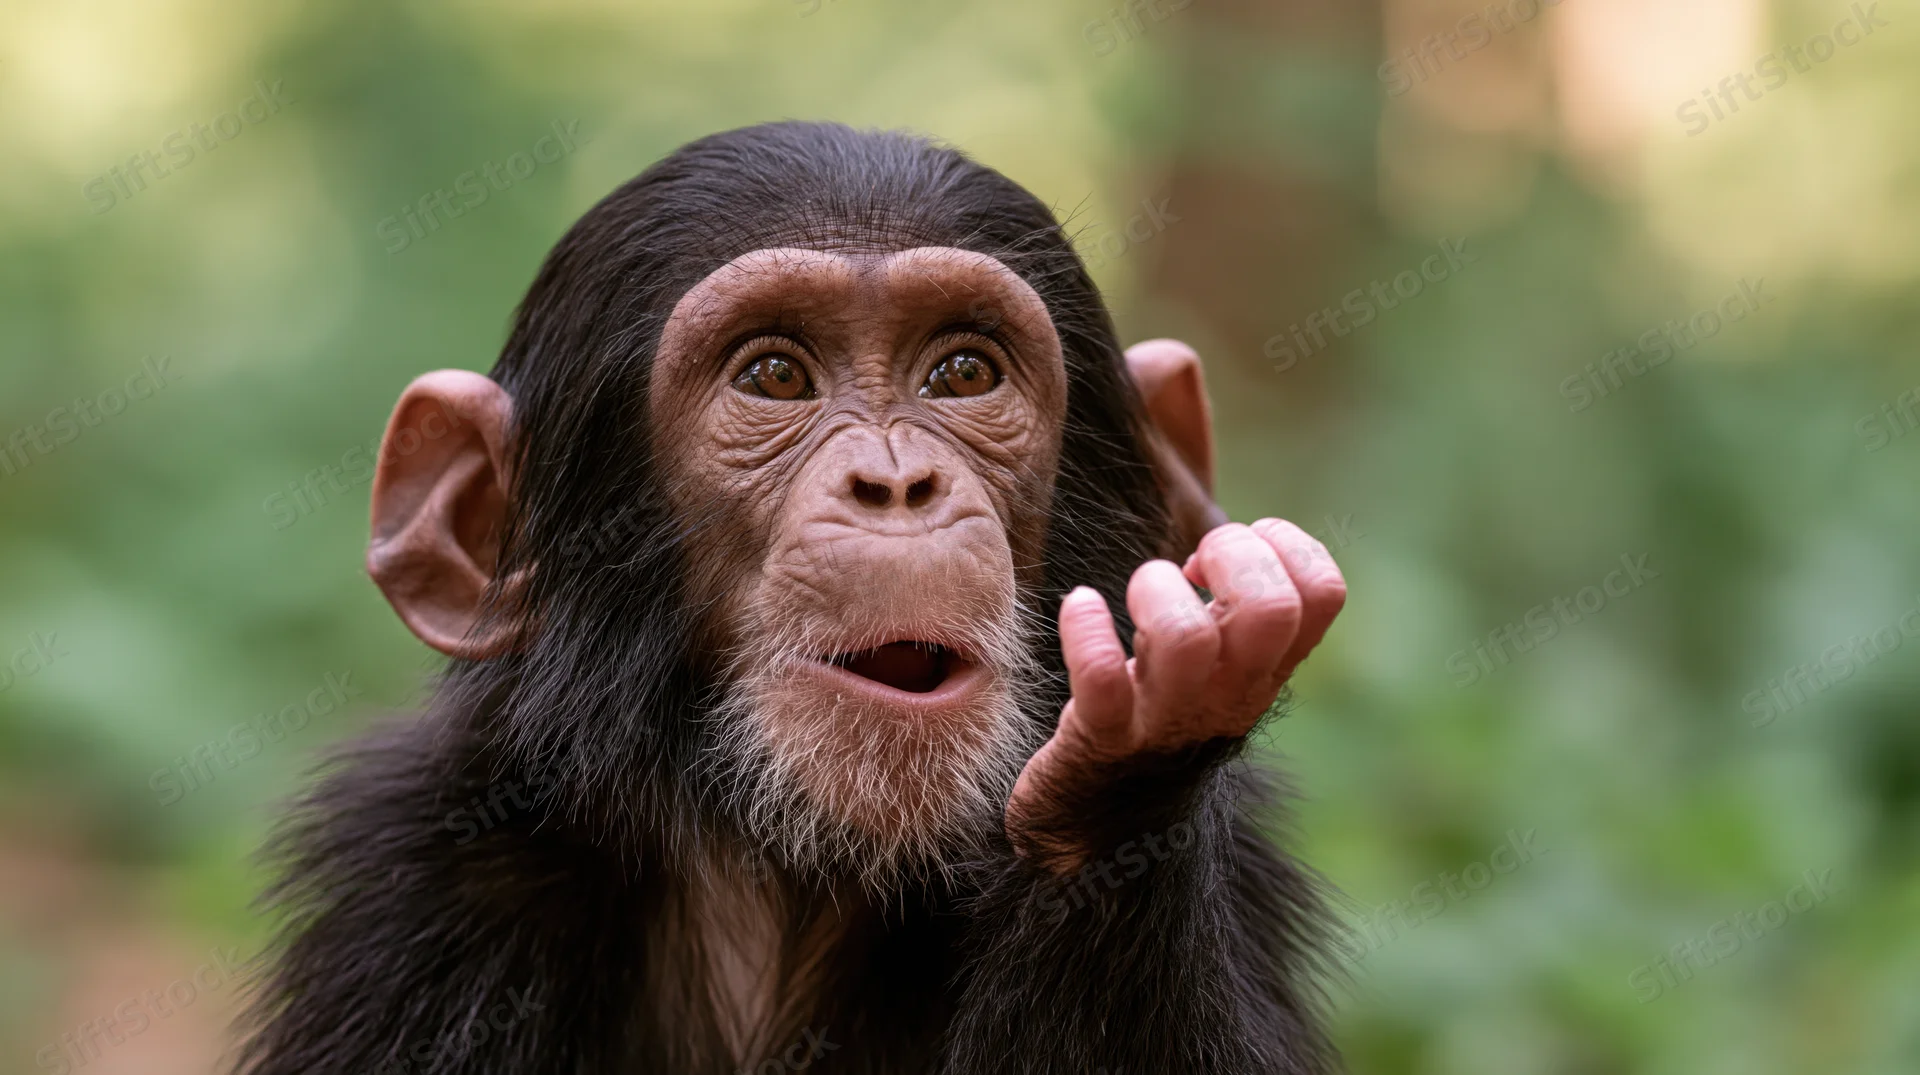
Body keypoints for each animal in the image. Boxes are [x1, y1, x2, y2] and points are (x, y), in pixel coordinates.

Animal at [235, 121, 1347, 1075]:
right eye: (774, 376)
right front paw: (1128, 760)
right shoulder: (409, 879)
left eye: (962, 372)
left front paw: (1132, 771)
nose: (895, 483)